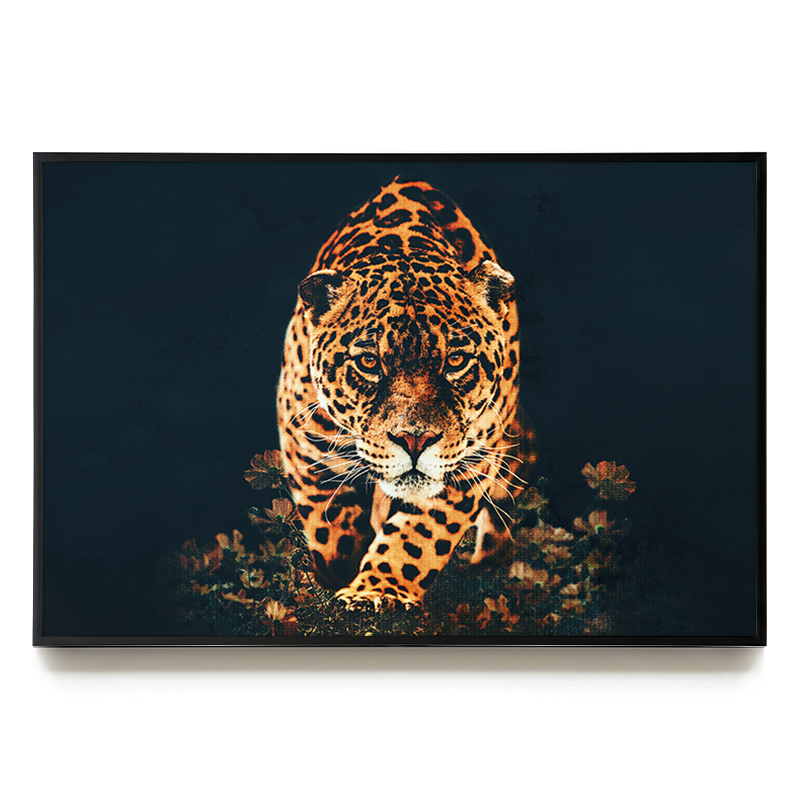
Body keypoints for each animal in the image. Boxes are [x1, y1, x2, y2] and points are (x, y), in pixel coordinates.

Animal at [277, 178, 536, 611]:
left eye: (455, 360)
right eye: (369, 362)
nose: (415, 440)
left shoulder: (469, 459)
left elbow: (419, 536)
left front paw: (377, 590)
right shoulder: (304, 438)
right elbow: (328, 521)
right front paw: (340, 570)